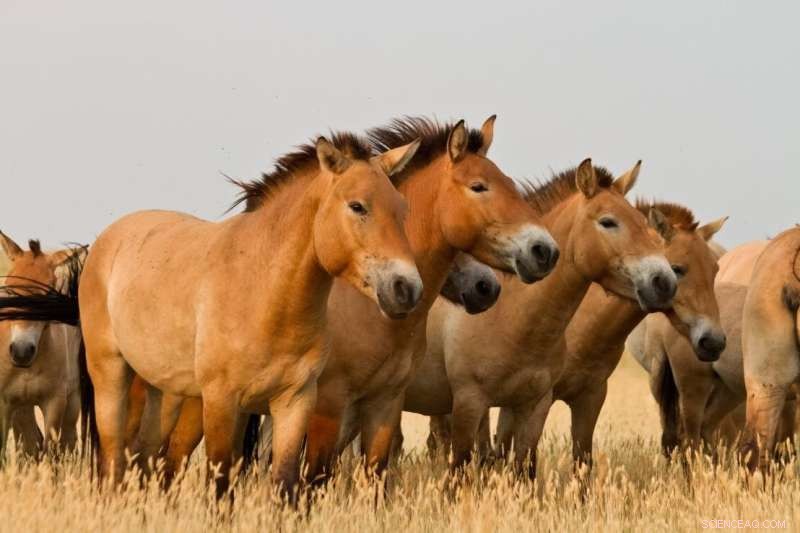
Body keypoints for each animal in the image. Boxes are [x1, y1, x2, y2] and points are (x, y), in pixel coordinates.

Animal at [0, 233, 83, 458]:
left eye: (47, 295)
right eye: (10, 291)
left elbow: (50, 451)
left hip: (71, 404)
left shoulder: (55, 402)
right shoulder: (5, 403)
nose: (21, 351)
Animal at [403, 159, 677, 477]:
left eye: (642, 223)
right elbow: (460, 468)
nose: (664, 281)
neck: (512, 316)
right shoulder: (469, 403)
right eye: (608, 222)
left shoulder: (534, 406)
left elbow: (526, 468)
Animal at [490, 201, 727, 470]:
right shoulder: (535, 400)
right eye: (677, 269)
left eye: (715, 269)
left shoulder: (591, 397)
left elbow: (582, 462)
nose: (714, 341)